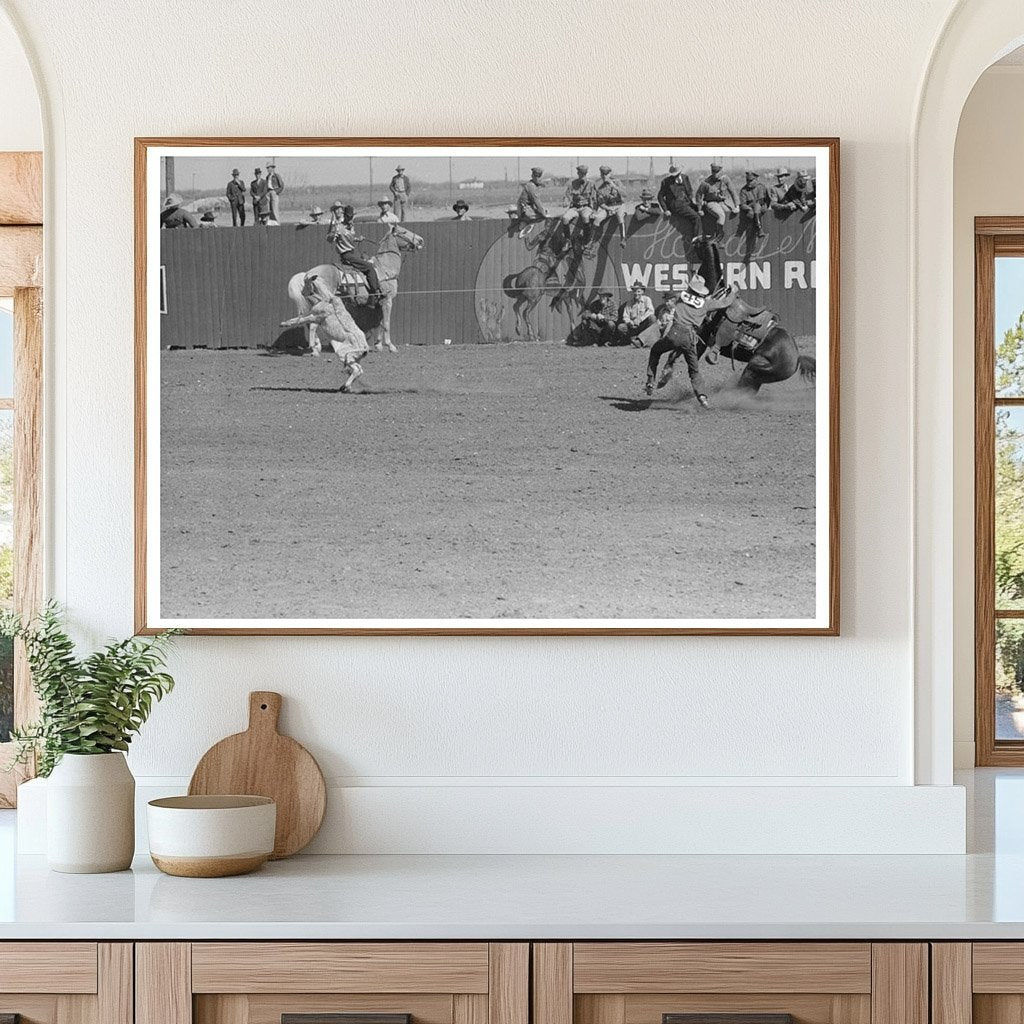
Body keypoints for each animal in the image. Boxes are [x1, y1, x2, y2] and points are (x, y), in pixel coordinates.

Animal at [286, 222, 421, 354]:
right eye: (404, 232)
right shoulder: (388, 300)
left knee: (309, 321)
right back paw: (315, 350)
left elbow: (381, 323)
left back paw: (317, 346)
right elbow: (386, 324)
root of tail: (308, 274)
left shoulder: (380, 303)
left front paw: (378, 345)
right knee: (313, 324)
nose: (421, 240)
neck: (384, 268)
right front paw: (391, 346)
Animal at [659, 237, 819, 393]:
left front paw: (664, 377)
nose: (688, 256)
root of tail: (797, 358)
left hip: (753, 368)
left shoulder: (699, 338)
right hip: (756, 376)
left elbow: (681, 356)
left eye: (697, 243)